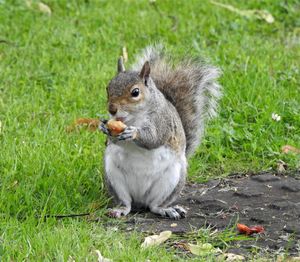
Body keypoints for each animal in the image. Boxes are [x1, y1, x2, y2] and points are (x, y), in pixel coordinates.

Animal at [100, 44, 220, 219]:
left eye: (135, 92)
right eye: (108, 88)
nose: (112, 109)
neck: (134, 117)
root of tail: (140, 200)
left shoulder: (162, 121)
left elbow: (154, 139)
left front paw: (133, 133)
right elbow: (112, 140)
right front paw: (103, 127)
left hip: (172, 180)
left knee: (154, 205)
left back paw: (167, 209)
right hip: (113, 177)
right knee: (126, 203)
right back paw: (120, 209)